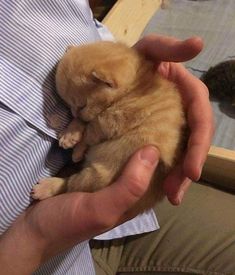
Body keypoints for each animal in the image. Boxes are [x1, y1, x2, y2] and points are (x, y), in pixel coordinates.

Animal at [32, 41, 187, 215]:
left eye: (82, 105)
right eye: (67, 104)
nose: (74, 112)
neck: (134, 86)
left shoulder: (111, 120)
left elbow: (89, 129)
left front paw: (73, 140)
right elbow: (87, 124)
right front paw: (73, 134)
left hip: (98, 176)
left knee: (69, 184)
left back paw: (46, 187)